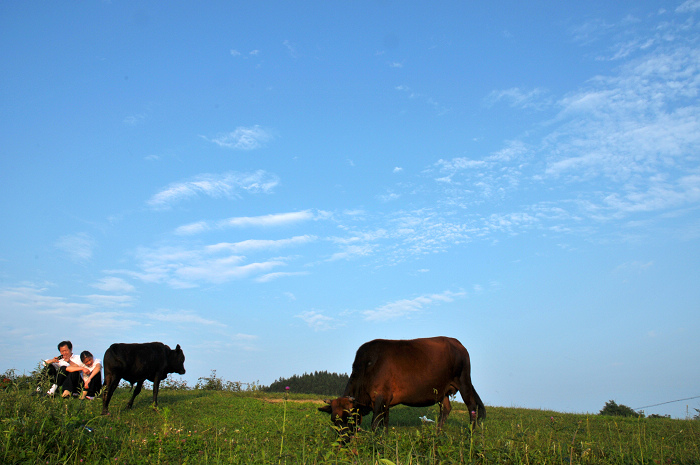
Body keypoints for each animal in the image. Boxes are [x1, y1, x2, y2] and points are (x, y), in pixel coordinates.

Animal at [320, 336, 484, 434]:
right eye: (333, 420)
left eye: (348, 418)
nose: (343, 440)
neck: (367, 367)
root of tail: (457, 342)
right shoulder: (385, 401)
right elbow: (384, 423)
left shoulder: (379, 397)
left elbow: (375, 424)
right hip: (441, 390)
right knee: (446, 409)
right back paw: (437, 433)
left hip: (463, 381)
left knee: (472, 406)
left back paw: (471, 433)